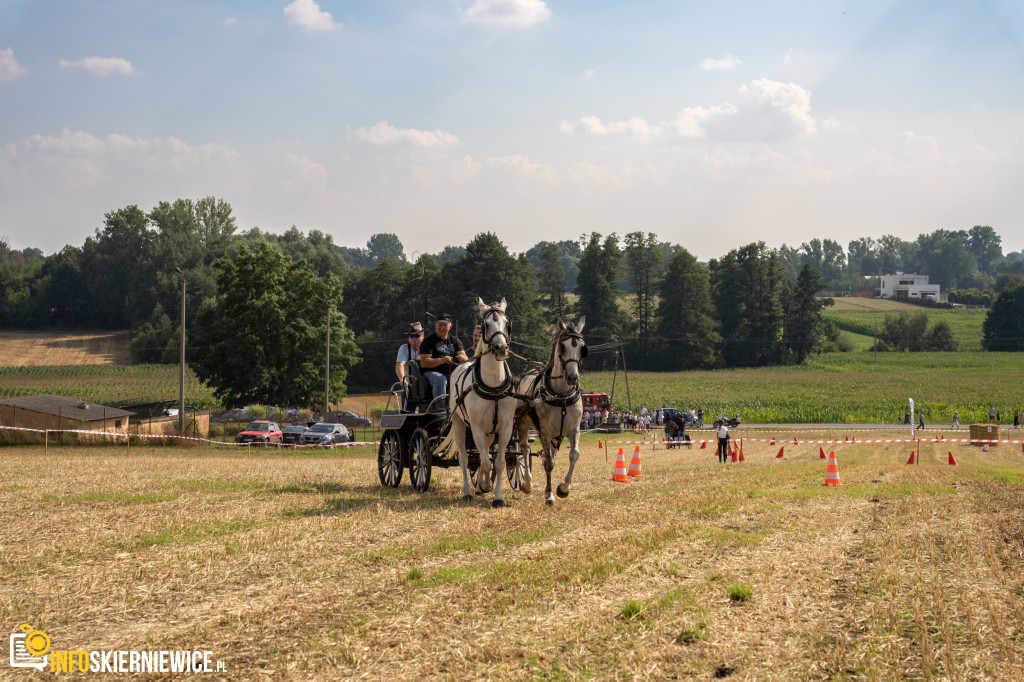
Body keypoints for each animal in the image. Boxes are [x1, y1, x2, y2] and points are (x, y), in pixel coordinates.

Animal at [436, 296, 516, 503]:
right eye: (486, 324)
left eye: (506, 323)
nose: (501, 348)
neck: (493, 385)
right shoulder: (477, 427)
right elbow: (485, 462)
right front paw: (486, 486)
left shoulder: (505, 427)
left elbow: (499, 462)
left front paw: (497, 497)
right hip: (459, 423)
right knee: (465, 458)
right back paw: (468, 491)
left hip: (490, 432)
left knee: (484, 454)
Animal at [520, 315, 585, 501]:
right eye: (562, 347)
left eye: (582, 348)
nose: (572, 377)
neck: (561, 396)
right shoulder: (545, 431)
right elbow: (548, 463)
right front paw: (549, 496)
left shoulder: (574, 429)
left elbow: (573, 455)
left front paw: (563, 488)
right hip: (522, 425)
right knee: (525, 450)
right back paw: (527, 483)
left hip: (557, 434)